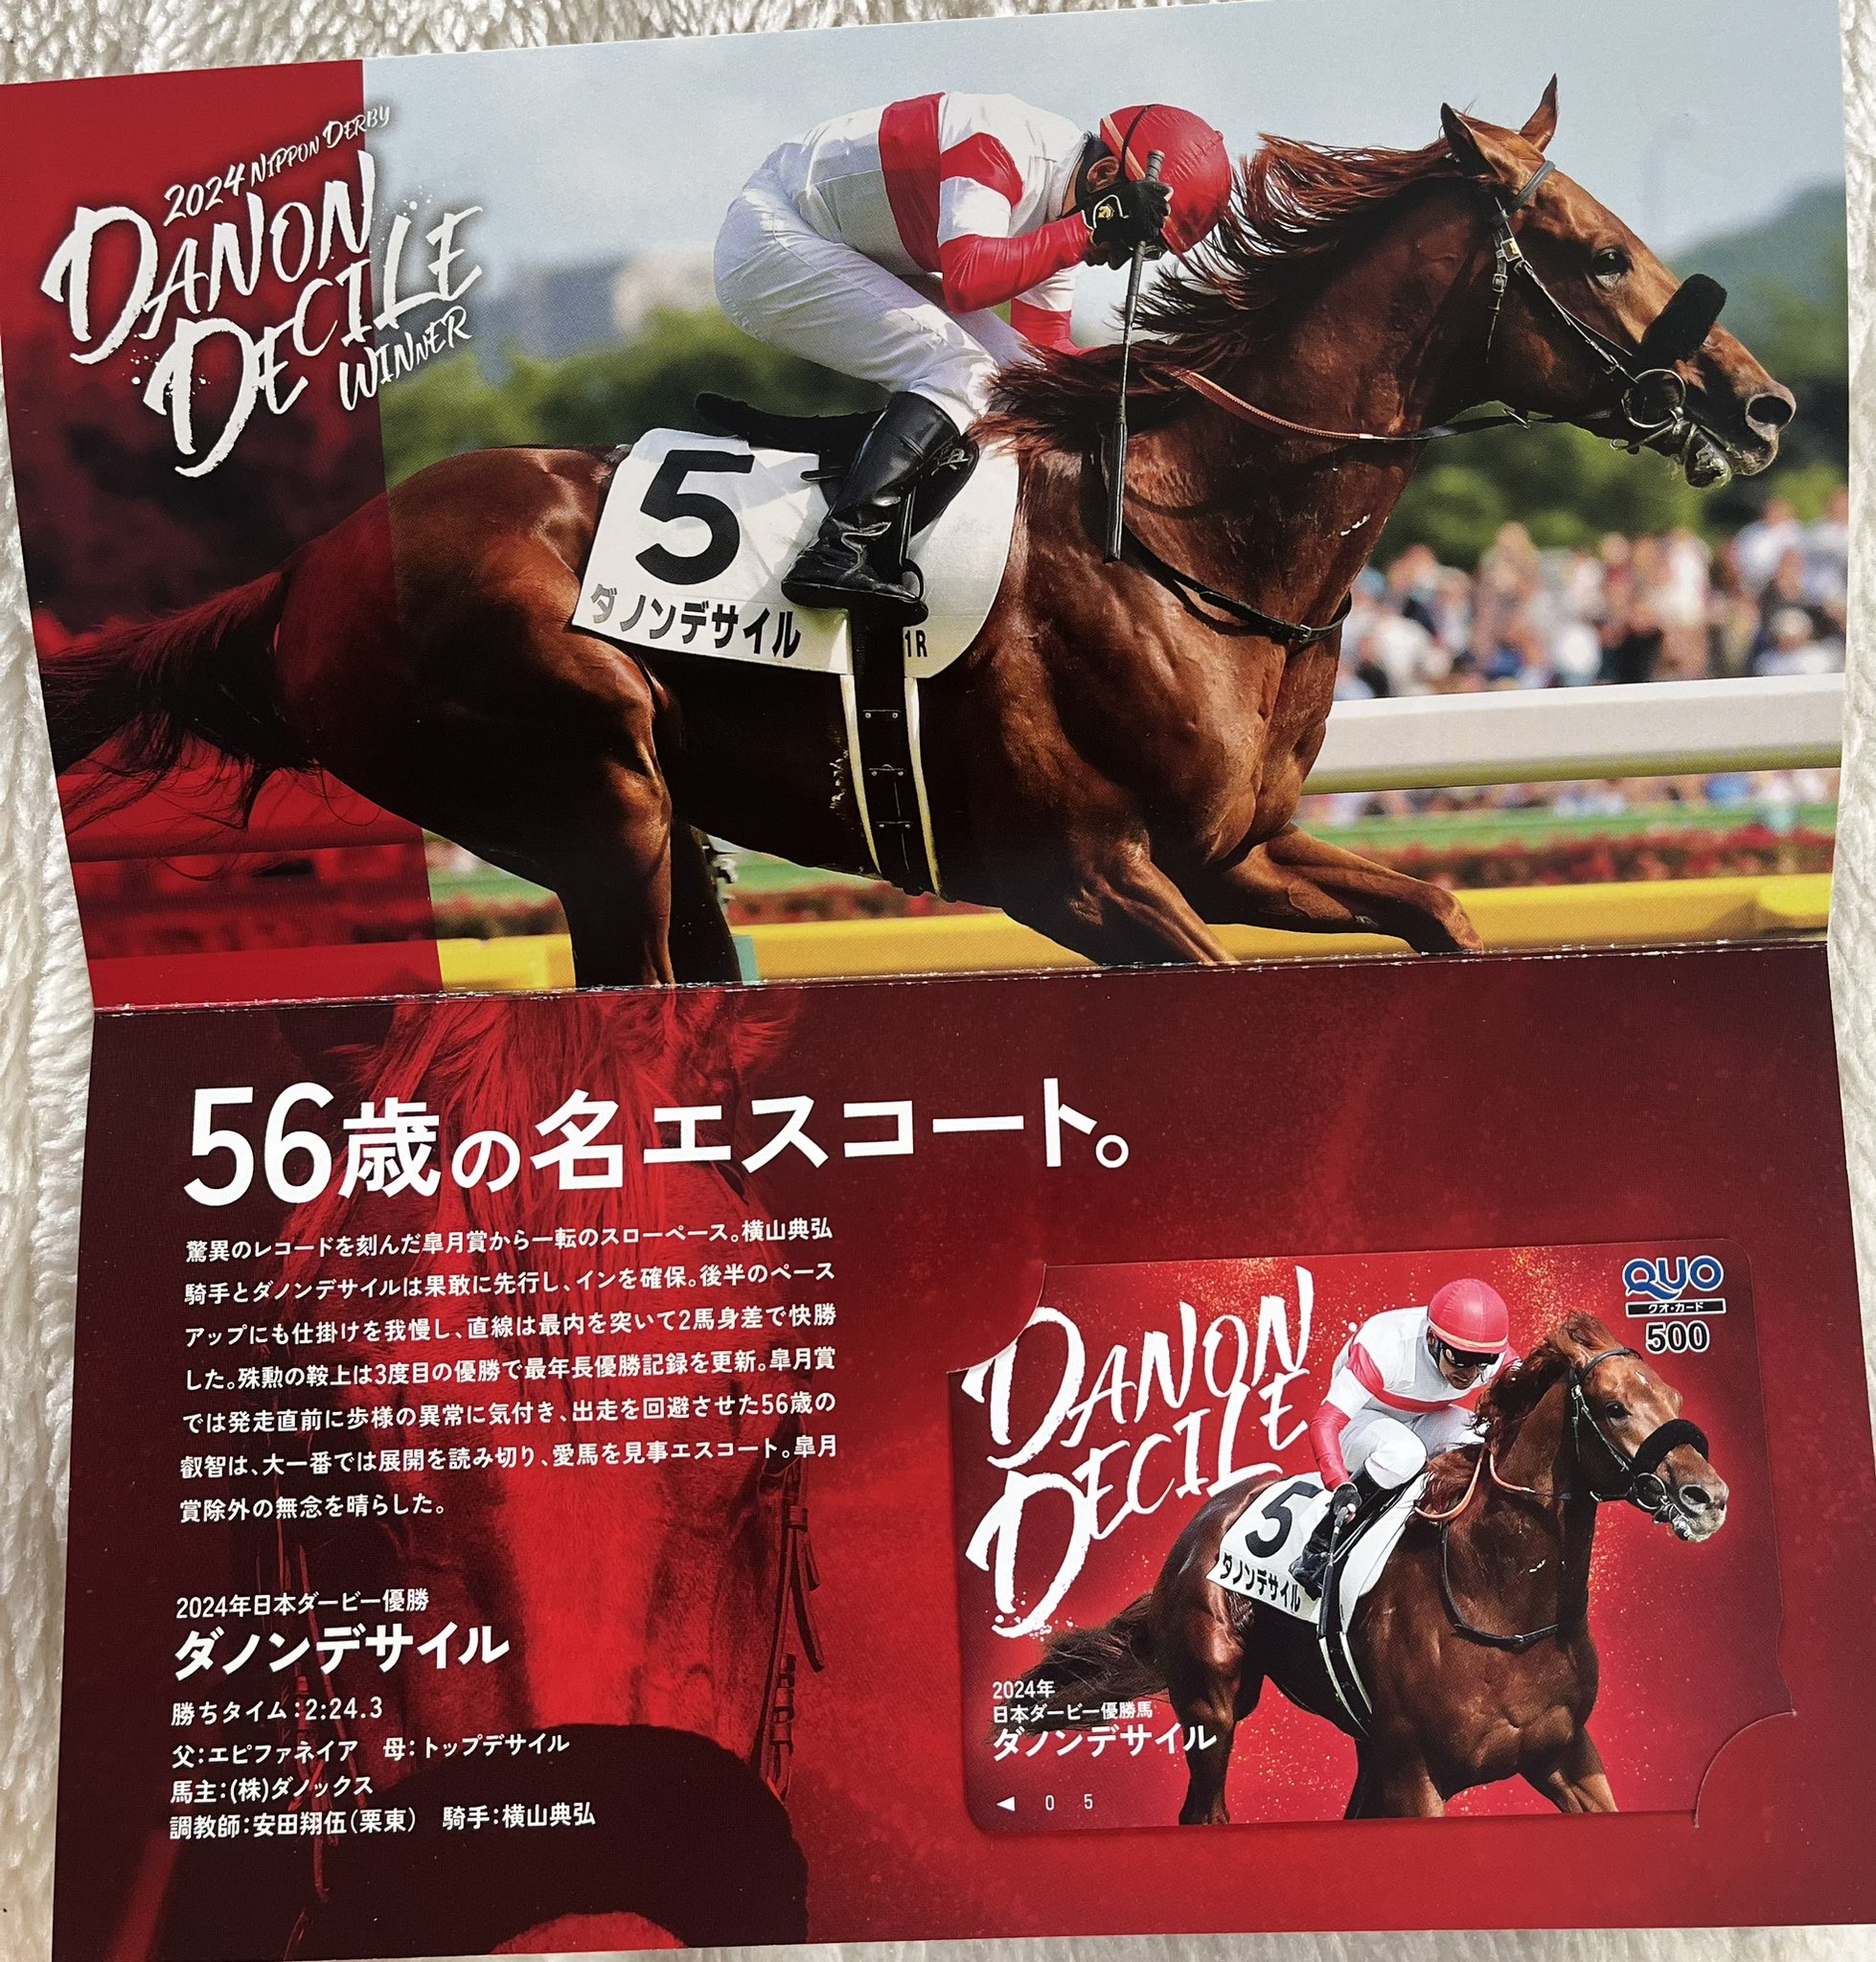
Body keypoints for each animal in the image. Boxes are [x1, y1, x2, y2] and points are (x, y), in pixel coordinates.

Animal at [40, 82, 1795, 987]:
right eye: (1595, 249)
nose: (1765, 405)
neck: (1191, 541)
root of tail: (303, 571)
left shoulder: (1233, 853)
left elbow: (1438, 913)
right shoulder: (1086, 881)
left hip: (654, 823)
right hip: (592, 803)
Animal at [1015, 1312, 1726, 1822]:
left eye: (1674, 1394)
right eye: (1613, 1407)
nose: (1708, 1497)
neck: (1498, 1602)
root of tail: (1204, 1518)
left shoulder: (1566, 1754)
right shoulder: (1416, 1777)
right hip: (1212, 1705)